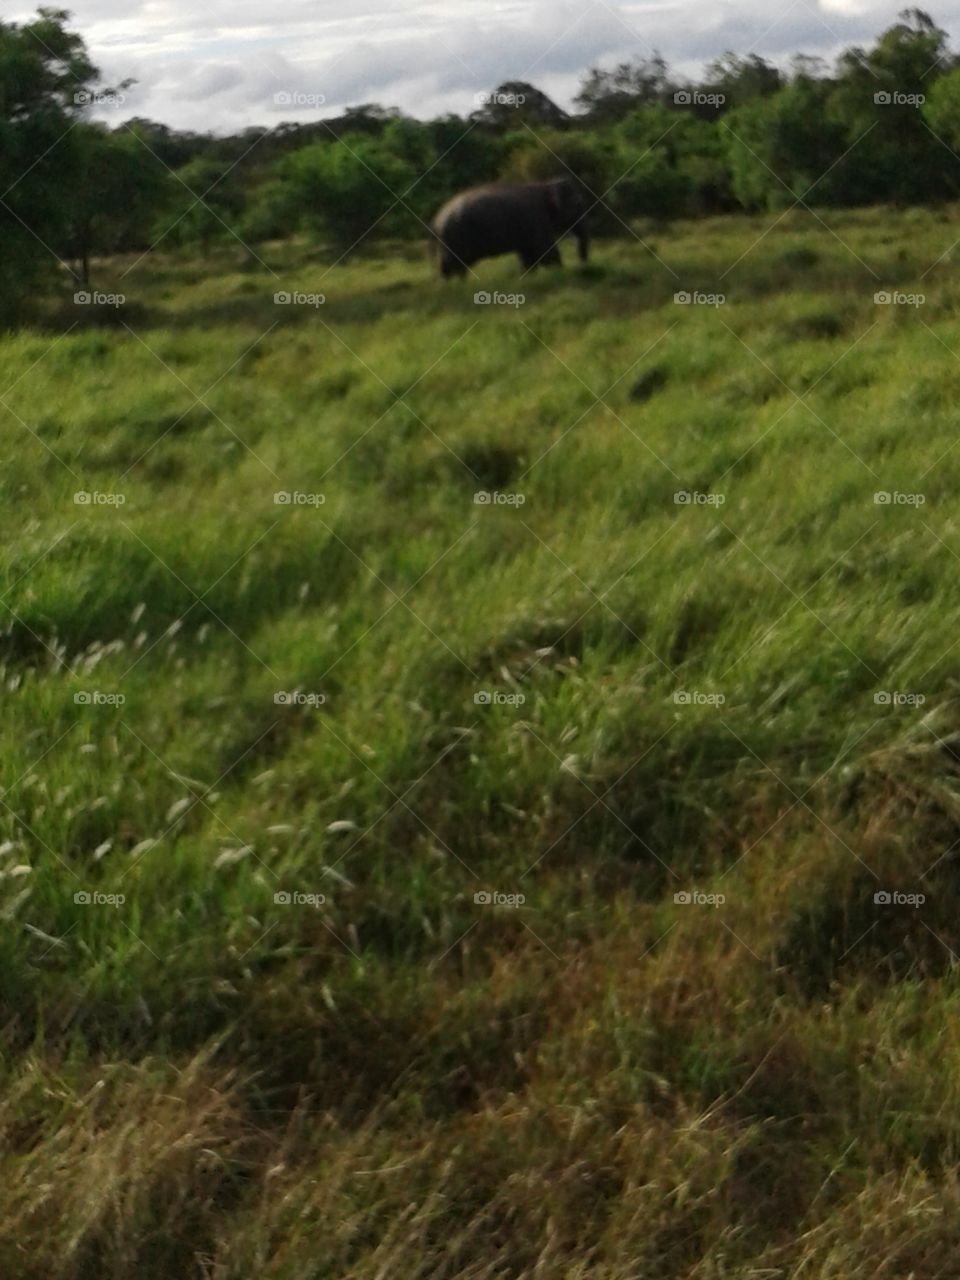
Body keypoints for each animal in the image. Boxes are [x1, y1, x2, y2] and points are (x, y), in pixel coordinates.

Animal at [431, 177, 590, 277]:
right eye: (578, 204)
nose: (582, 267)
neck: (544, 185)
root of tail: (436, 219)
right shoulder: (535, 218)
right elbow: (546, 252)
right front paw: (560, 273)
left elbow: (527, 255)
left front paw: (528, 277)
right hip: (453, 238)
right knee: (449, 264)